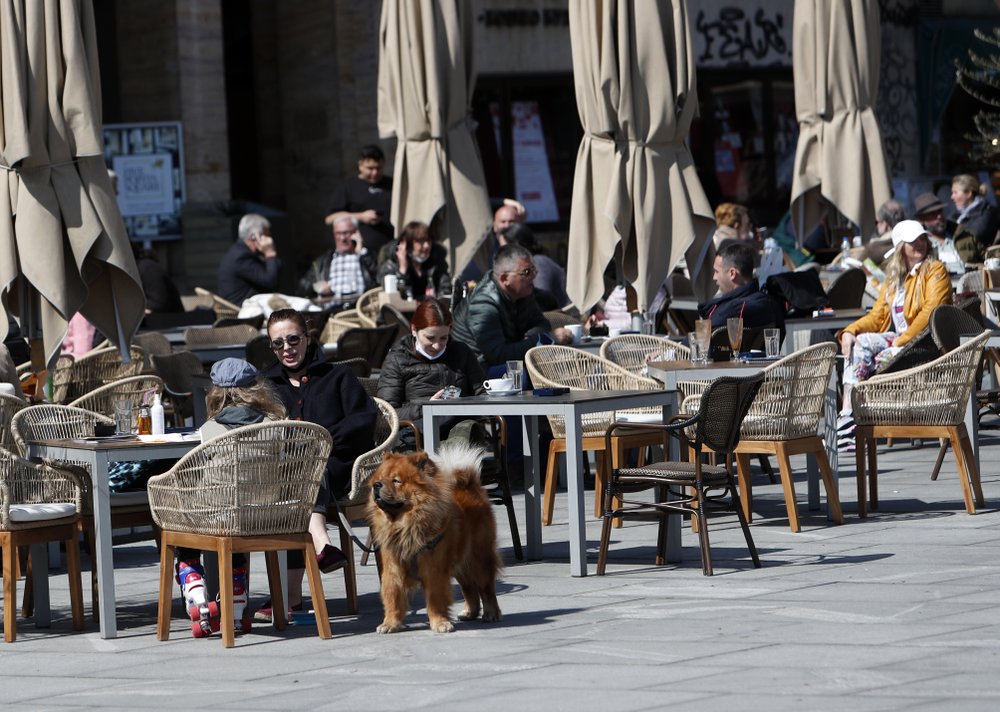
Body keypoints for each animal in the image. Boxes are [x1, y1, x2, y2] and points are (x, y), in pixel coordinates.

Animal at [368, 444, 504, 636]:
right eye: (379, 479)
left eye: (396, 481)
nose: (376, 485)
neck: (404, 525)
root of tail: (470, 485)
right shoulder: (393, 568)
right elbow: (393, 597)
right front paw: (389, 624)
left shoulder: (433, 568)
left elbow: (436, 599)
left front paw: (440, 623)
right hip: (460, 564)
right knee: (469, 588)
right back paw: (469, 613)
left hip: (479, 558)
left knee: (486, 588)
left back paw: (491, 613)